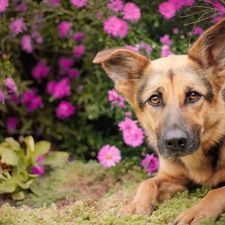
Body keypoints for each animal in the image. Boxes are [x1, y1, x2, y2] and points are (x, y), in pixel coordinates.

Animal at [92, 18, 225, 224]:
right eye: (154, 99)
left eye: (193, 95)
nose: (175, 142)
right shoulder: (172, 178)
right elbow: (147, 182)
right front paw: (136, 205)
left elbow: (217, 192)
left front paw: (198, 212)